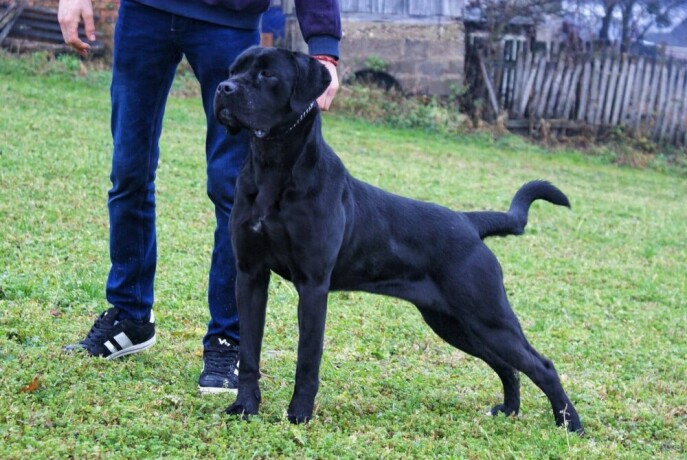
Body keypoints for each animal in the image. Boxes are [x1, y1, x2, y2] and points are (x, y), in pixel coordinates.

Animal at [215, 47, 584, 434]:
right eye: (234, 70)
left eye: (267, 74)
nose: (224, 88)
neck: (272, 167)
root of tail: (469, 222)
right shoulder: (251, 274)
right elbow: (249, 351)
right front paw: (244, 407)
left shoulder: (313, 285)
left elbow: (308, 359)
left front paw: (299, 415)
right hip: (455, 323)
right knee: (507, 365)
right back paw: (510, 409)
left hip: (488, 316)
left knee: (541, 365)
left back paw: (571, 425)